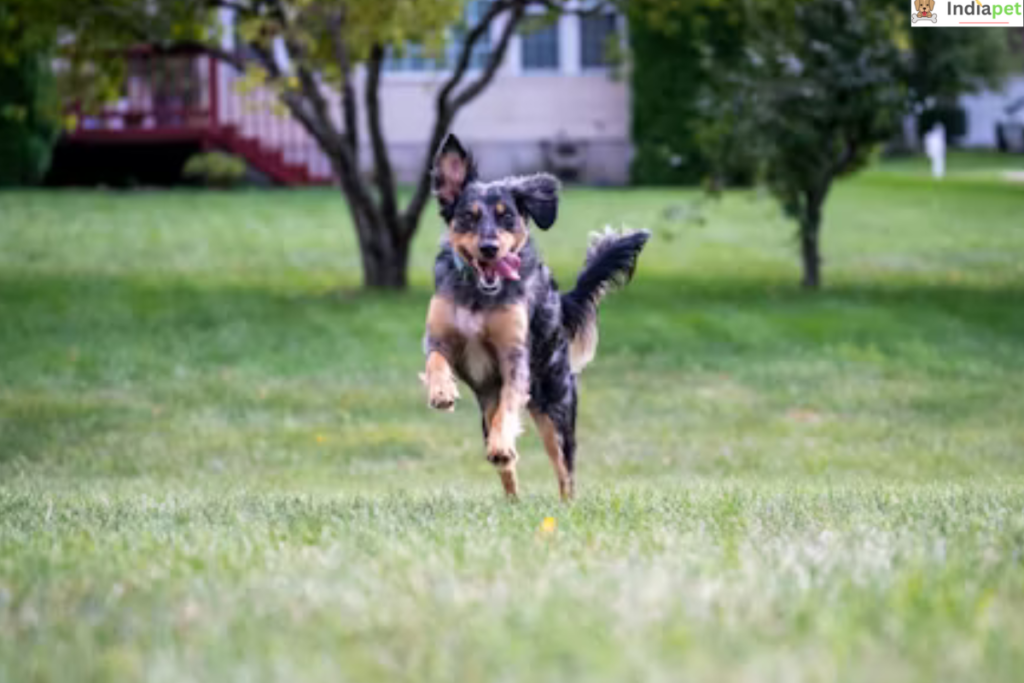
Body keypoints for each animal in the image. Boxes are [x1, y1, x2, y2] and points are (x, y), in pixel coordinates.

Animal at [421, 133, 647, 499]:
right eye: (468, 216)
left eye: (507, 216)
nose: (489, 248)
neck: (480, 297)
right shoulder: (440, 337)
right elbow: (435, 360)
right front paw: (441, 392)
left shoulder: (515, 358)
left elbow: (508, 410)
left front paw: (501, 443)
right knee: (507, 471)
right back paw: (512, 497)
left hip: (556, 409)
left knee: (564, 473)